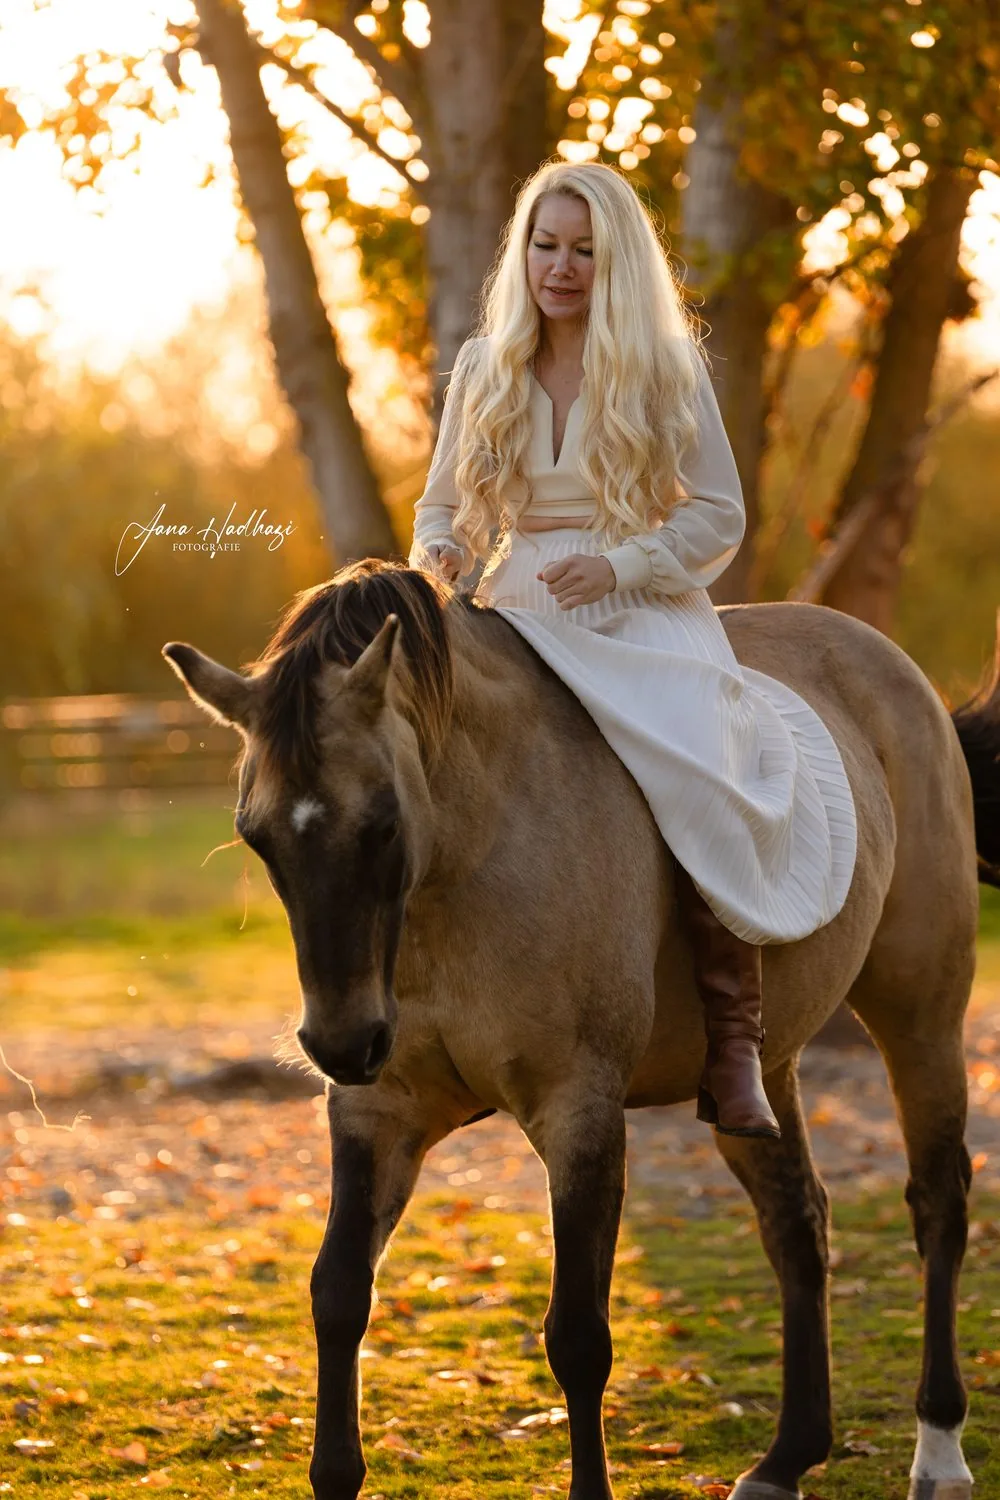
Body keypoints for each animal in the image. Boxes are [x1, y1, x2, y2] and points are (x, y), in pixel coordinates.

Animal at [162, 560, 1000, 1500]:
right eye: (257, 837)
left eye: (382, 823)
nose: (341, 1044)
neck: (471, 856)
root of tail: (896, 671)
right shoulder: (377, 1112)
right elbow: (338, 1292)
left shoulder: (580, 1110)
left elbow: (577, 1337)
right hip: (762, 1067)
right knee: (798, 1223)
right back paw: (786, 1458)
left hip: (920, 1010)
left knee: (938, 1202)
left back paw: (940, 1449)